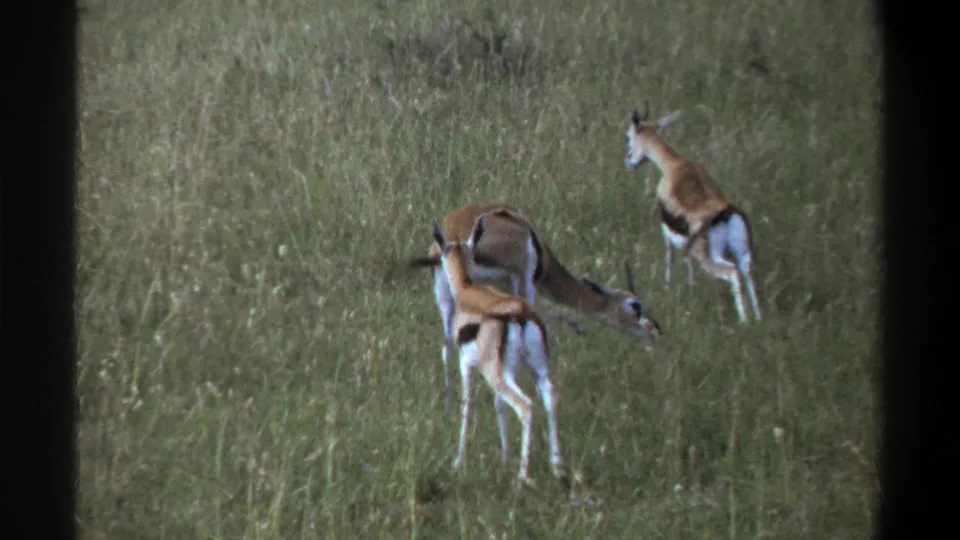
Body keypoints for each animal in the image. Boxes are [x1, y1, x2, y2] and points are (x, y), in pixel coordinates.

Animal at [409, 201, 663, 411]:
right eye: (635, 305)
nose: (656, 332)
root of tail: (454, 236)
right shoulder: (524, 285)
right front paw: (577, 326)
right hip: (510, 285)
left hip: (447, 299)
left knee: (448, 347)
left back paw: (450, 406)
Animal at [428, 214, 565, 488]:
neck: (468, 290)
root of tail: (520, 315)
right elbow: (498, 405)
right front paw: (504, 456)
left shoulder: (467, 364)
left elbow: (467, 405)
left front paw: (458, 462)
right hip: (535, 370)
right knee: (550, 397)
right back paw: (557, 469)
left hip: (498, 374)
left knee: (525, 406)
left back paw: (523, 477)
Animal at [624, 103, 761, 323]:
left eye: (628, 137)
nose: (629, 162)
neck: (674, 164)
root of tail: (725, 213)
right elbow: (689, 266)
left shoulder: (668, 232)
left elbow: (670, 258)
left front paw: (668, 289)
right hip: (742, 252)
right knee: (748, 275)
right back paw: (758, 319)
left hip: (710, 257)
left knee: (732, 273)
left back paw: (744, 321)